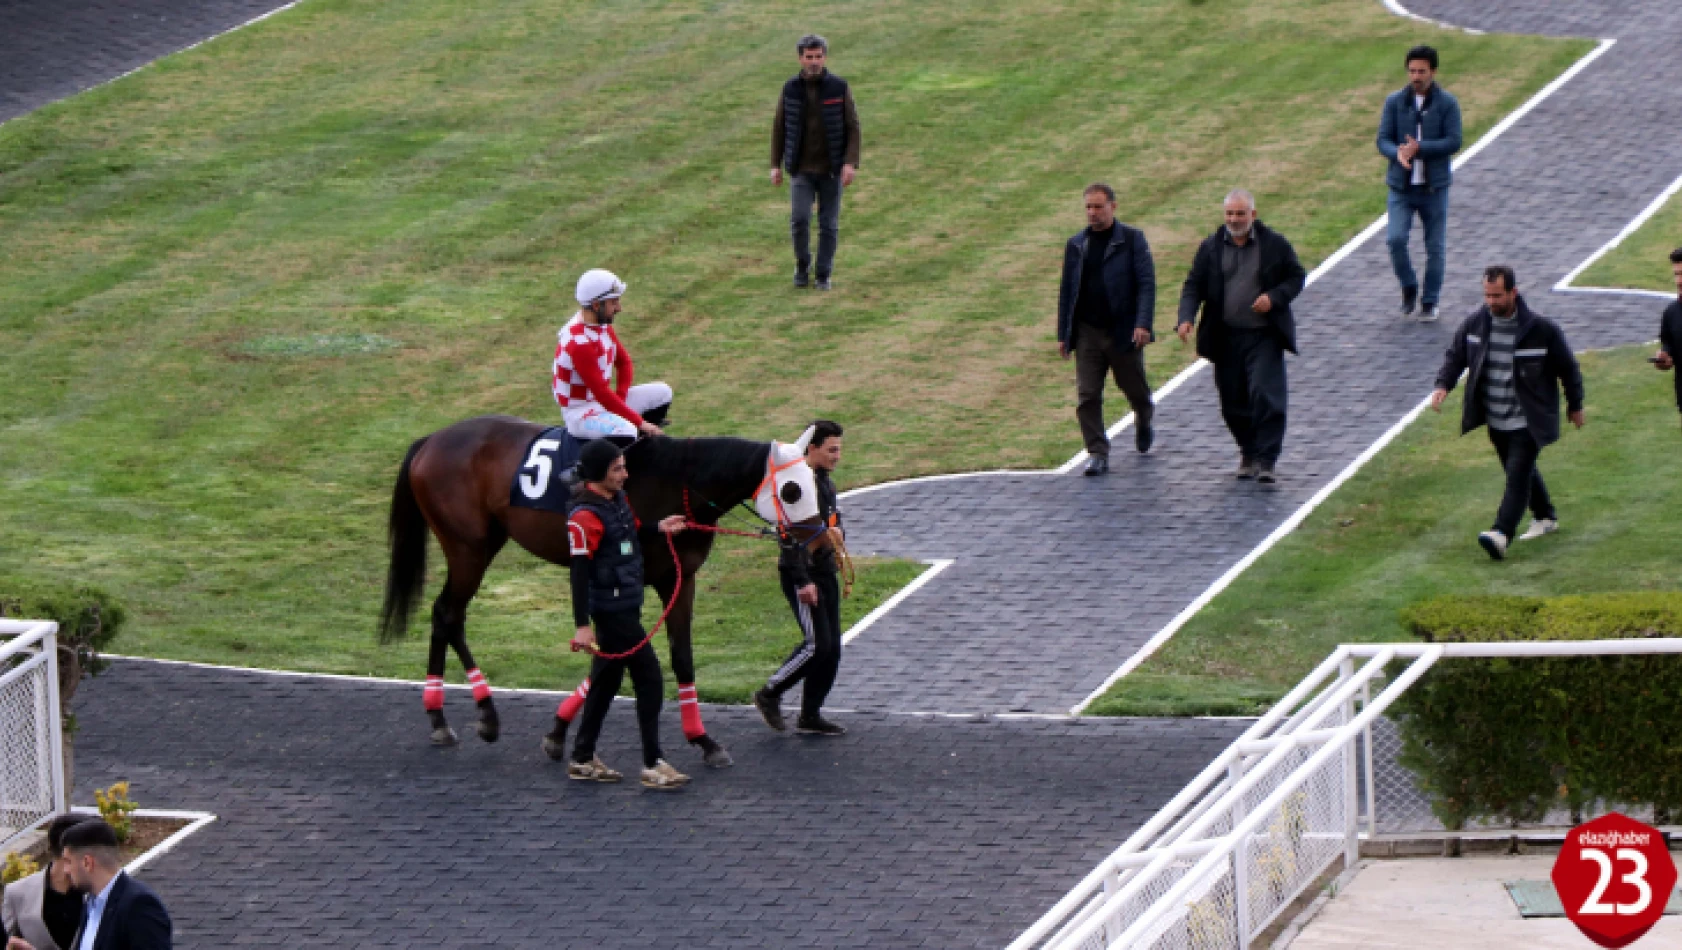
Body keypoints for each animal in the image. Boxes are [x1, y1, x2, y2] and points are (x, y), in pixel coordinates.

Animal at [383, 413, 827, 763]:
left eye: (814, 480)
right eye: (792, 490)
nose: (819, 542)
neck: (677, 482)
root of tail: (431, 440)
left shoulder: (678, 580)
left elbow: (676, 658)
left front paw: (702, 739)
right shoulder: (626, 583)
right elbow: (619, 655)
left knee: (448, 615)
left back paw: (451, 715)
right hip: (468, 549)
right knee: (447, 613)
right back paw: (465, 716)